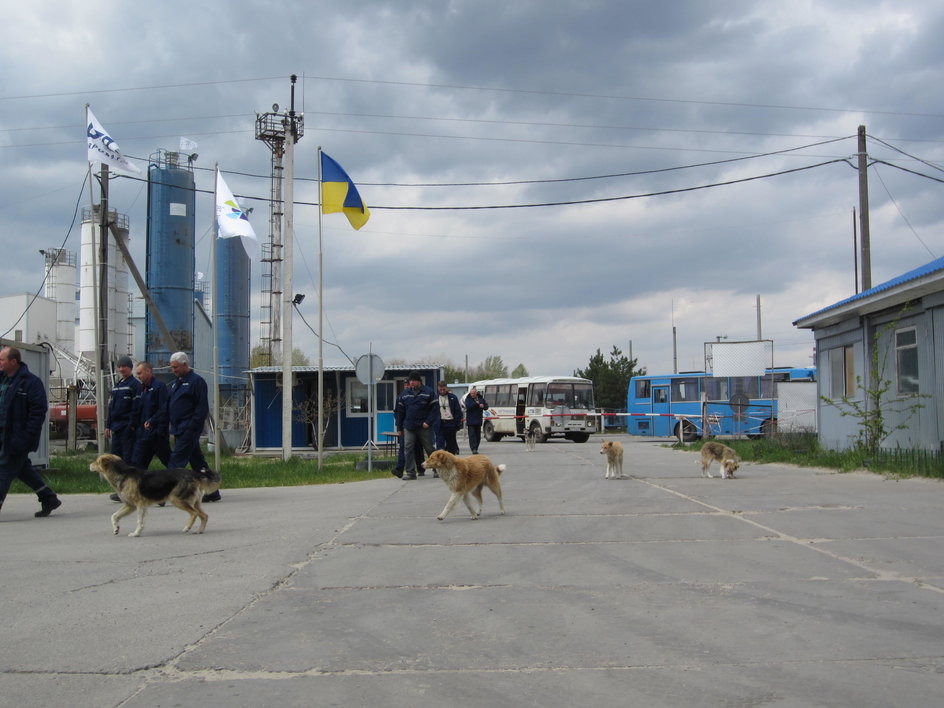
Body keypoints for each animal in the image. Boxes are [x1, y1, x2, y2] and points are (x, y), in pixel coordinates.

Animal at [89, 454, 220, 536]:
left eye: (97, 461)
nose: (89, 465)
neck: (122, 474)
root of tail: (195, 474)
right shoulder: (130, 505)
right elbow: (114, 516)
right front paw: (116, 528)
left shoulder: (139, 505)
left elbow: (139, 521)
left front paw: (136, 533)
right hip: (194, 502)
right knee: (204, 515)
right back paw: (199, 531)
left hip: (177, 499)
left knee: (194, 513)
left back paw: (187, 527)